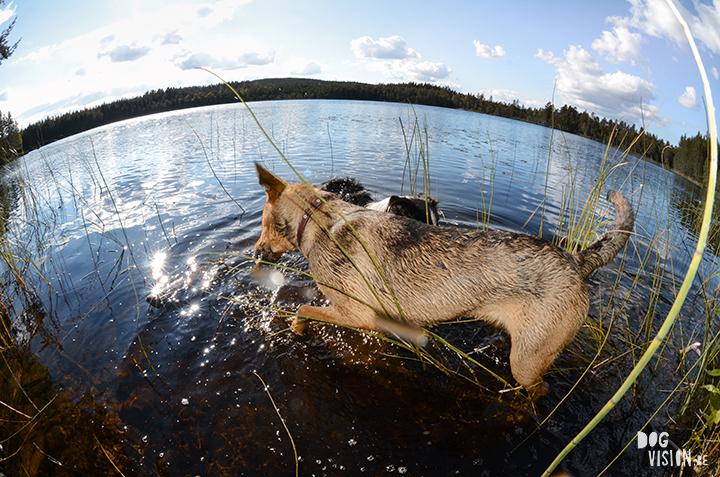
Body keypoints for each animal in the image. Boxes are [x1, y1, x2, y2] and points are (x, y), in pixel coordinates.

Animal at [252, 162, 632, 388]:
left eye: (264, 222)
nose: (255, 252)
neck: (320, 220)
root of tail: (576, 259)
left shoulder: (357, 314)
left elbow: (304, 310)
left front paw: (297, 328)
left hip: (527, 362)